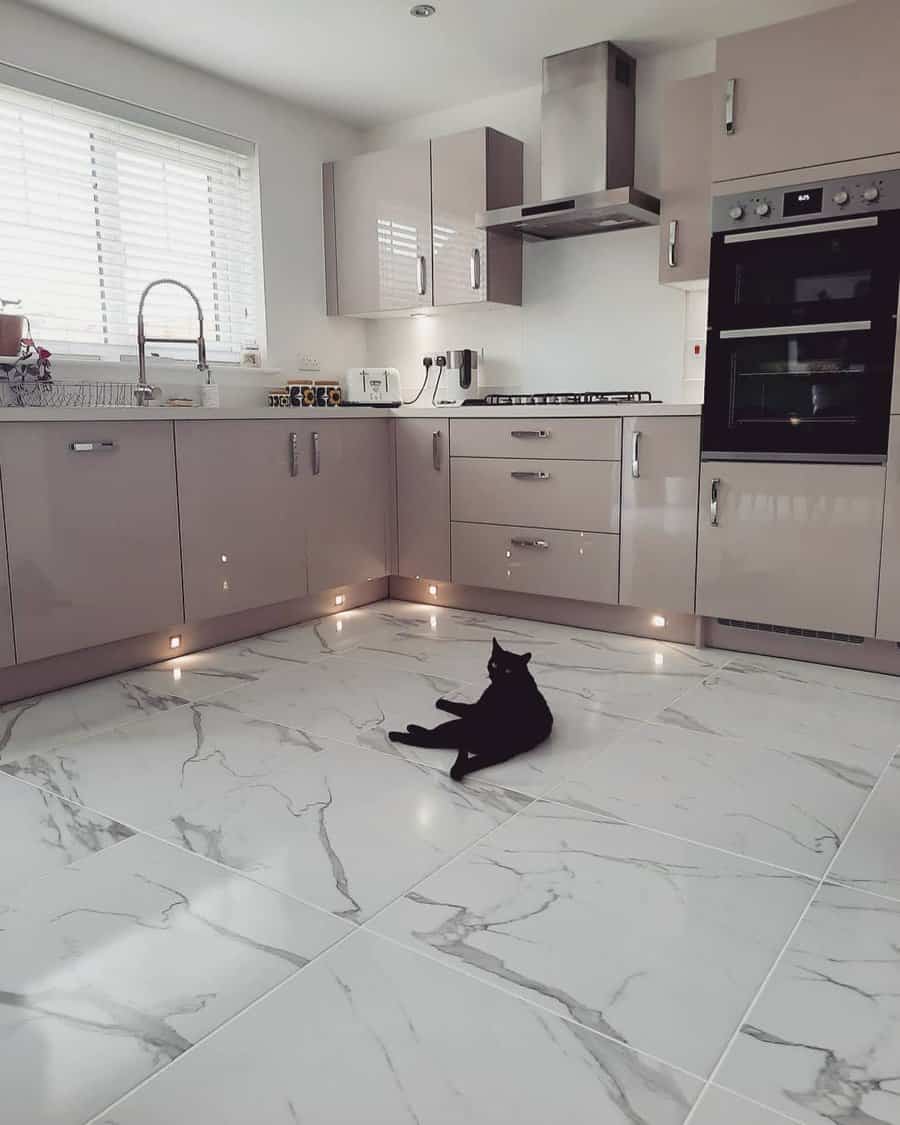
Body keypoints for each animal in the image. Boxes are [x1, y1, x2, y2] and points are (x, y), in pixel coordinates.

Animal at [389, 639, 555, 778]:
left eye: (508, 670)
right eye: (494, 664)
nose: (496, 673)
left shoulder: (476, 708)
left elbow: (460, 706)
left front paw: (440, 702)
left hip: (459, 724)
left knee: (430, 738)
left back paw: (399, 732)